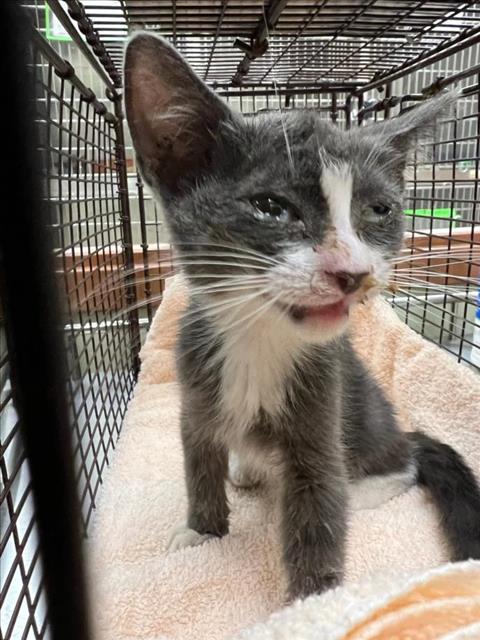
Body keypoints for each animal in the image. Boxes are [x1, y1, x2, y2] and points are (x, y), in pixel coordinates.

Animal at [124, 35, 480, 604]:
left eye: (379, 210)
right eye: (271, 207)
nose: (353, 272)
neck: (258, 339)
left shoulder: (322, 404)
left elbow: (319, 509)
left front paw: (311, 601)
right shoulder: (194, 389)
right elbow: (198, 461)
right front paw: (202, 531)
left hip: (370, 424)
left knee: (402, 465)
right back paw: (247, 468)